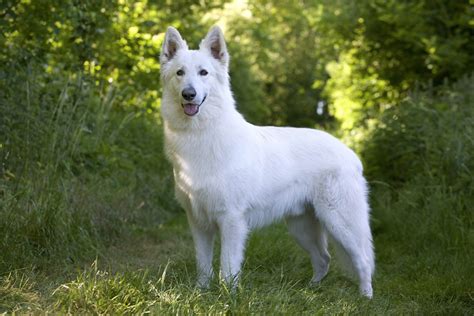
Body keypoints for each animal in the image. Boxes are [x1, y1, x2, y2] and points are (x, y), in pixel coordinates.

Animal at [161, 25, 376, 298]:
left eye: (203, 72)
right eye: (180, 73)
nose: (189, 94)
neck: (201, 134)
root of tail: (350, 153)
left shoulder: (231, 220)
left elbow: (227, 267)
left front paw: (228, 297)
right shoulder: (198, 223)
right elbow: (204, 265)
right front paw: (201, 292)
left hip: (341, 223)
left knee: (363, 261)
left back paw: (365, 297)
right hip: (301, 227)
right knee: (323, 258)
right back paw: (311, 289)